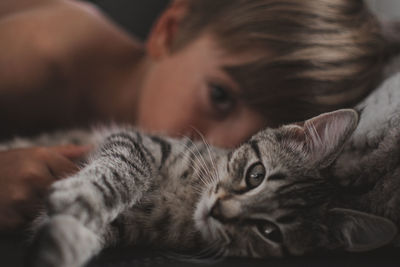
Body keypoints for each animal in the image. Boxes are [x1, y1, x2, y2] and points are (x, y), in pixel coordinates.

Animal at [11, 73, 400, 267]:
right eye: (256, 175)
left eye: (269, 231)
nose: (219, 210)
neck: (187, 200)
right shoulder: (136, 141)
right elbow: (122, 171)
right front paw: (83, 199)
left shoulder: (130, 226)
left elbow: (94, 232)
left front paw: (66, 240)